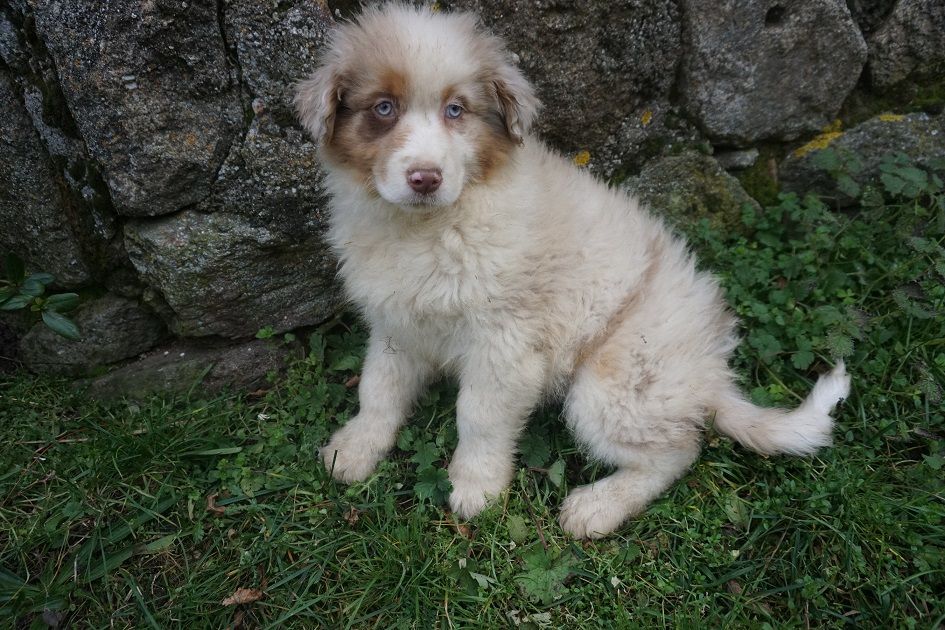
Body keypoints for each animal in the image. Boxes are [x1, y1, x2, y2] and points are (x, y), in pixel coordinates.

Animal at [294, 2, 848, 540]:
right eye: (383, 108)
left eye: (457, 110)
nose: (425, 178)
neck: (428, 227)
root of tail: (711, 375)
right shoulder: (396, 323)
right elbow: (378, 389)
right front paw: (356, 447)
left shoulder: (506, 343)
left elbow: (479, 416)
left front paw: (477, 487)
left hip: (617, 383)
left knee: (679, 450)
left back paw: (596, 508)